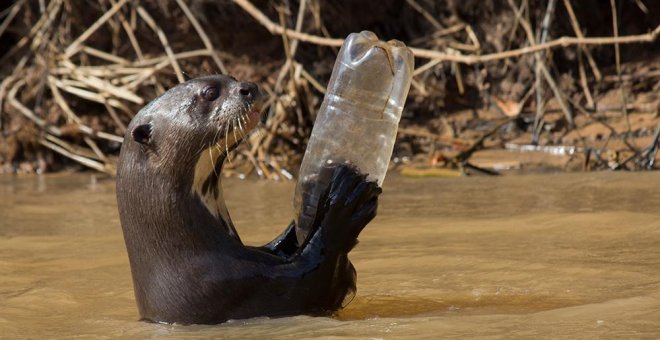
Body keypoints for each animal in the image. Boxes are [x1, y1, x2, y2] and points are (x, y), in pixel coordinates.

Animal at [116, 74, 378, 324]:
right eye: (210, 93)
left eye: (230, 78)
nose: (249, 86)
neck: (188, 252)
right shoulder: (235, 287)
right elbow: (315, 279)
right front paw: (343, 204)